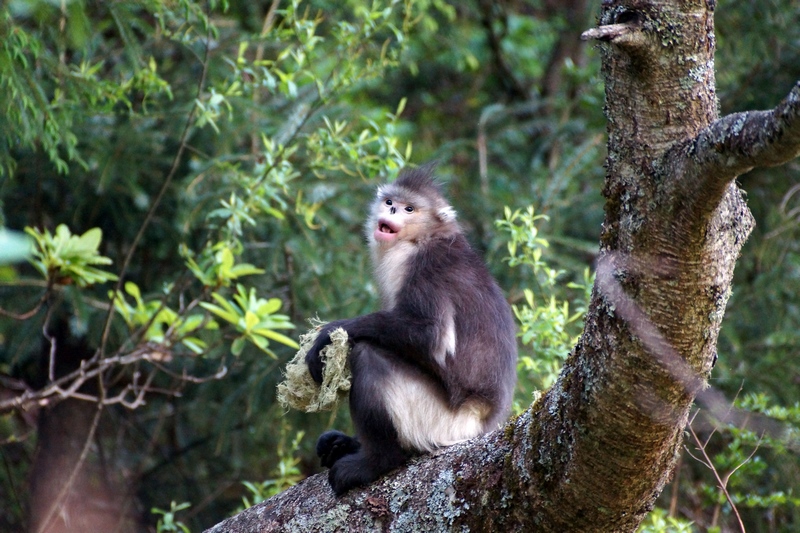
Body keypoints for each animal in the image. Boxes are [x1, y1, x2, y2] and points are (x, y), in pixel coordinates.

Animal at [304, 166, 516, 494]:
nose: (391, 210)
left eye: (409, 209)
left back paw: (375, 462)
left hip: (438, 421)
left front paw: (329, 334)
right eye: (390, 201)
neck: (424, 237)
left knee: (368, 355)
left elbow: (430, 337)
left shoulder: (422, 267)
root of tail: (480, 421)